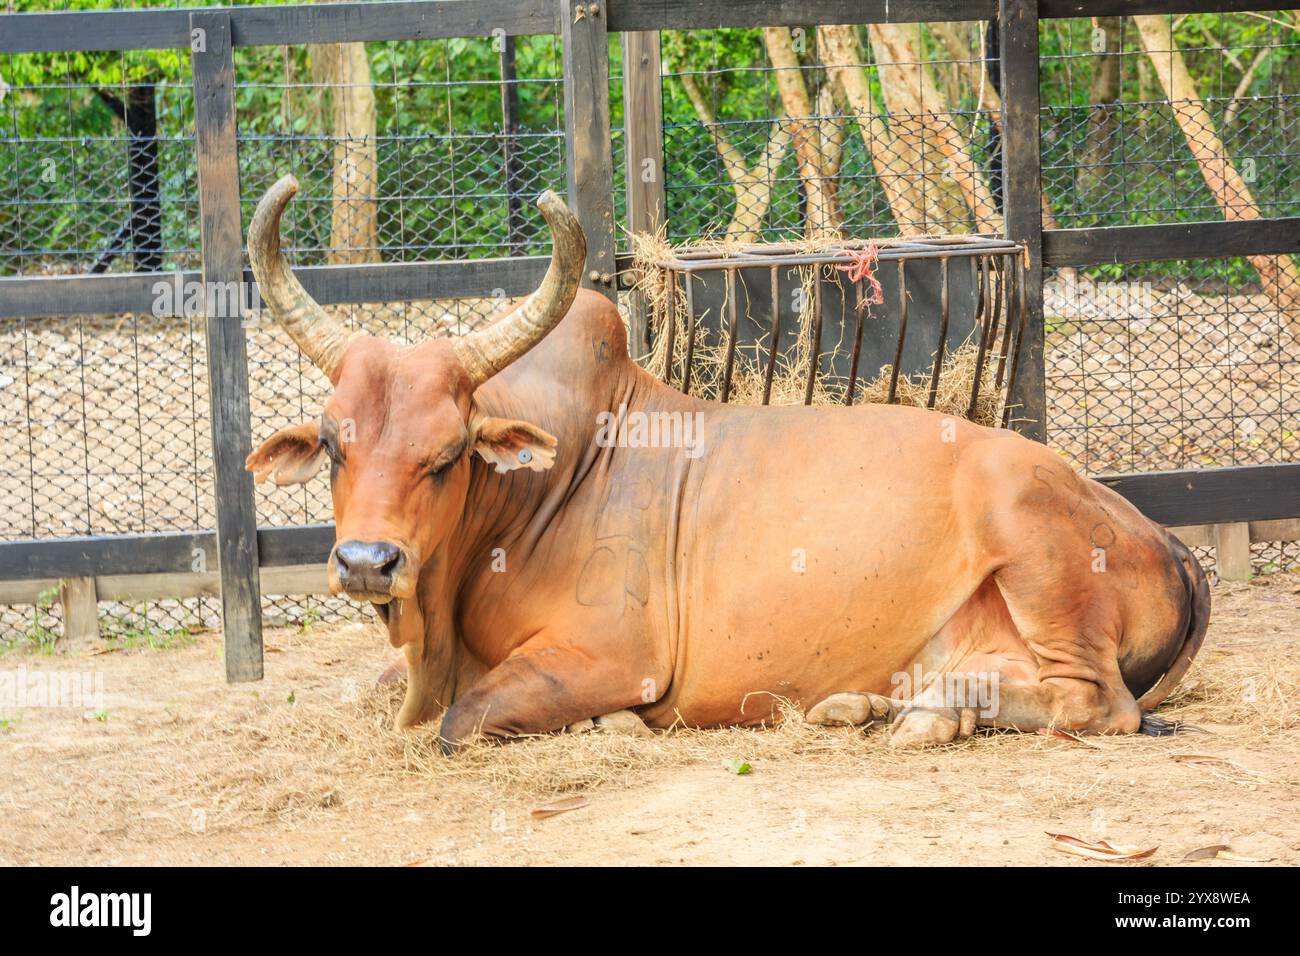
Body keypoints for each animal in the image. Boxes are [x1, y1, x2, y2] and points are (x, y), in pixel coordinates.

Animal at [245, 175, 1209, 752]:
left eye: (447, 453)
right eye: (333, 441)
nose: (367, 564)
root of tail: (1167, 538)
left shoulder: (612, 654)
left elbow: (460, 719)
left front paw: (612, 725)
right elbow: (372, 693)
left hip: (1030, 540)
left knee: (1100, 705)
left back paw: (927, 718)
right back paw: (877, 705)